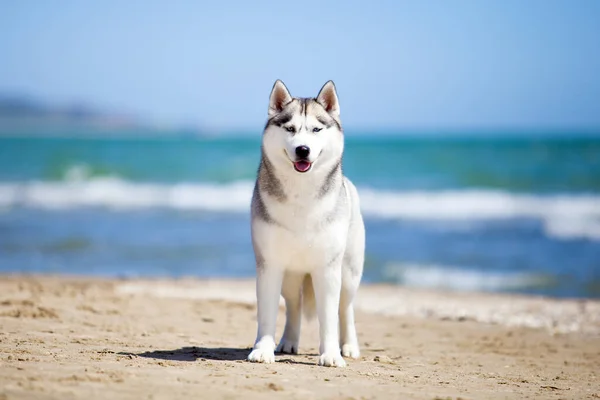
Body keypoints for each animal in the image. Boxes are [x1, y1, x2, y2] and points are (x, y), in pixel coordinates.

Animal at [245, 79, 366, 368]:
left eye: (316, 129)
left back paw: (349, 346)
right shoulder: (269, 264)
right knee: (294, 304)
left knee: (345, 308)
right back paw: (288, 342)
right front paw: (262, 349)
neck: (301, 193)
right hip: (290, 276)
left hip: (349, 272)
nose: (303, 149)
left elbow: (329, 317)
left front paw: (331, 354)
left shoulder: (328, 268)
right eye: (290, 129)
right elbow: (267, 313)